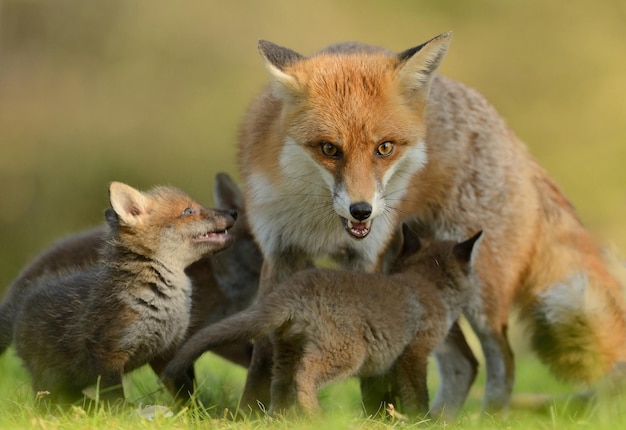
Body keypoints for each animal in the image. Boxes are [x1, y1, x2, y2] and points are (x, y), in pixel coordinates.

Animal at [235, 31, 624, 420]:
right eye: (329, 149)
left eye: (385, 148)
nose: (361, 211)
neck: (320, 223)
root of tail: (511, 137)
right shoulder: (279, 250)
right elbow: (264, 342)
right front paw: (251, 410)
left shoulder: (367, 257)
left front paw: (374, 412)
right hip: (426, 282)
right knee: (465, 364)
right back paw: (436, 420)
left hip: (477, 289)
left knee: (503, 360)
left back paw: (484, 419)